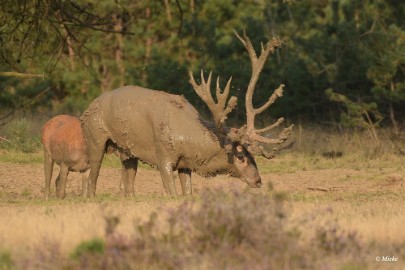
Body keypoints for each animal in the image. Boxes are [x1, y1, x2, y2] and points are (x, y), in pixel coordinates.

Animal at [80, 31, 292, 196]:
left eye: (252, 155)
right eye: (240, 157)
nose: (258, 181)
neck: (189, 140)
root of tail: (88, 107)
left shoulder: (185, 164)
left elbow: (187, 192)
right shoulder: (163, 155)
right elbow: (172, 192)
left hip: (127, 150)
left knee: (126, 182)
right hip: (94, 135)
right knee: (93, 174)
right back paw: (90, 196)